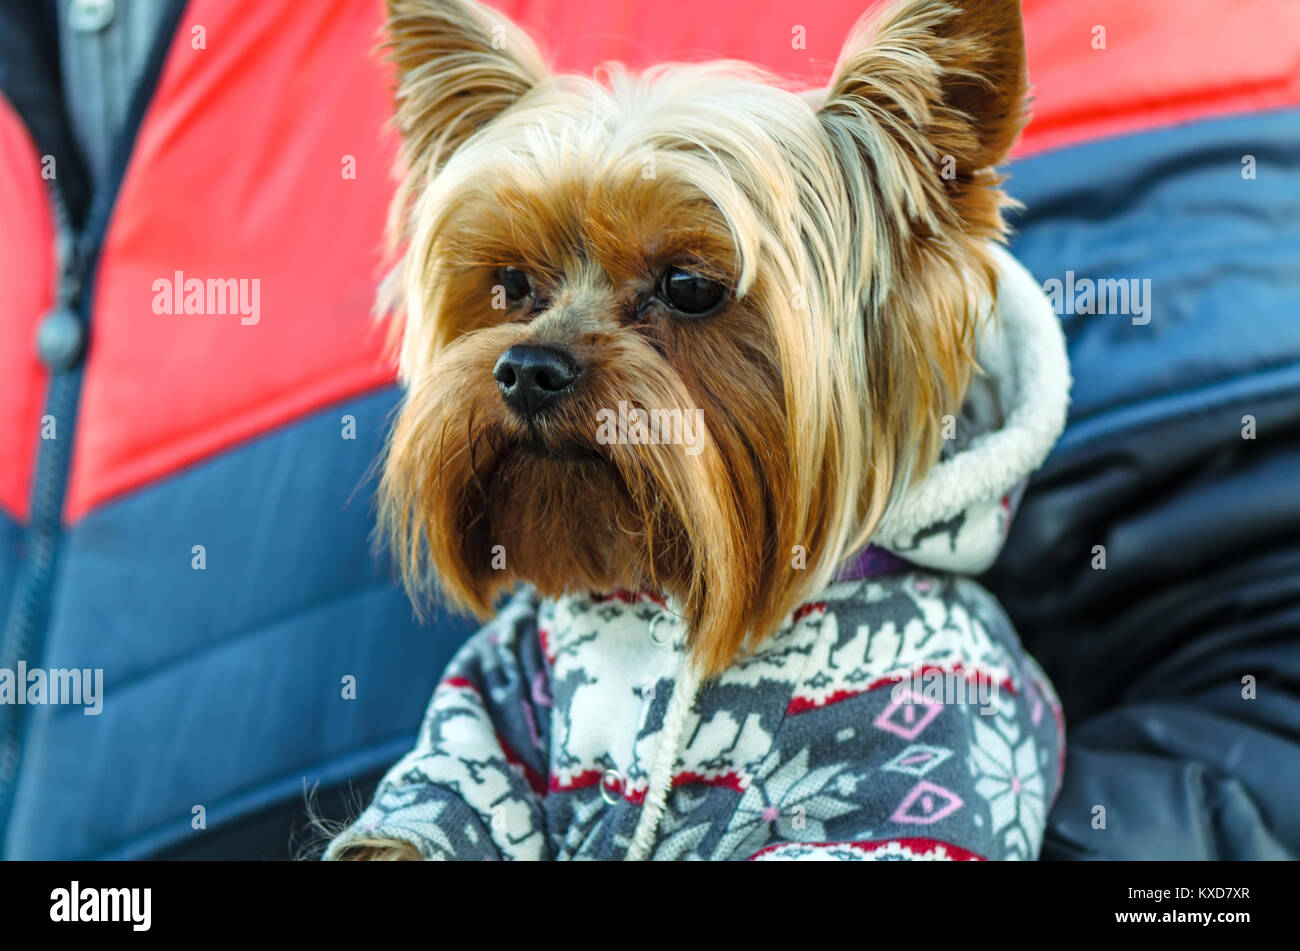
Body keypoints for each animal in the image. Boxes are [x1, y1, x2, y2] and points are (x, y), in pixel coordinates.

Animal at [330, 0, 1071, 862]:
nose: (527, 369)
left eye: (687, 286)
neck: (656, 586)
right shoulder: (499, 695)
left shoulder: (911, 748)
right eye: (511, 283)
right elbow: (454, 788)